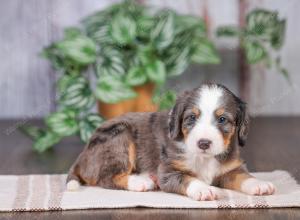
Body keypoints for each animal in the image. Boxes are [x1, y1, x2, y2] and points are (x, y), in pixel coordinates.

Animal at [67, 83, 276, 200]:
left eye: (223, 119)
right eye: (191, 118)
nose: (204, 143)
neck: (203, 158)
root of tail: (82, 156)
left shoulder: (229, 169)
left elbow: (243, 176)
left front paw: (259, 184)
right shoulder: (168, 172)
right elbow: (188, 178)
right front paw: (204, 190)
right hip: (120, 135)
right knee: (106, 178)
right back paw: (141, 182)